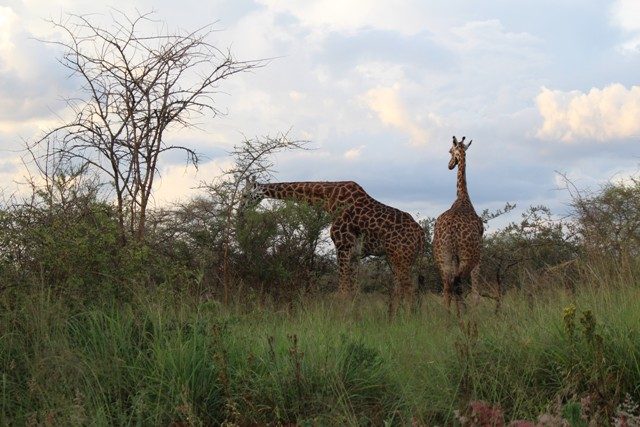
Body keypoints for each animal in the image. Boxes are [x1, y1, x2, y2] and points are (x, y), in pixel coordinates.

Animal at [240, 178, 424, 318]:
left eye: (244, 194)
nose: (239, 210)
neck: (329, 198)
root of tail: (420, 234)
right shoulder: (355, 254)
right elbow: (354, 291)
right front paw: (355, 318)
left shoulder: (342, 247)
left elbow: (342, 291)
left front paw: (341, 320)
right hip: (399, 258)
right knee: (402, 289)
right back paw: (394, 318)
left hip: (401, 257)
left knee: (409, 288)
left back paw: (407, 320)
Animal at [432, 135, 482, 316]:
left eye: (449, 151)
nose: (450, 165)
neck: (463, 199)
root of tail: (451, 231)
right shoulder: (478, 257)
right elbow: (475, 292)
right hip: (466, 257)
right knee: (457, 285)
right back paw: (461, 317)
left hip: (442, 258)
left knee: (448, 287)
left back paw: (448, 317)